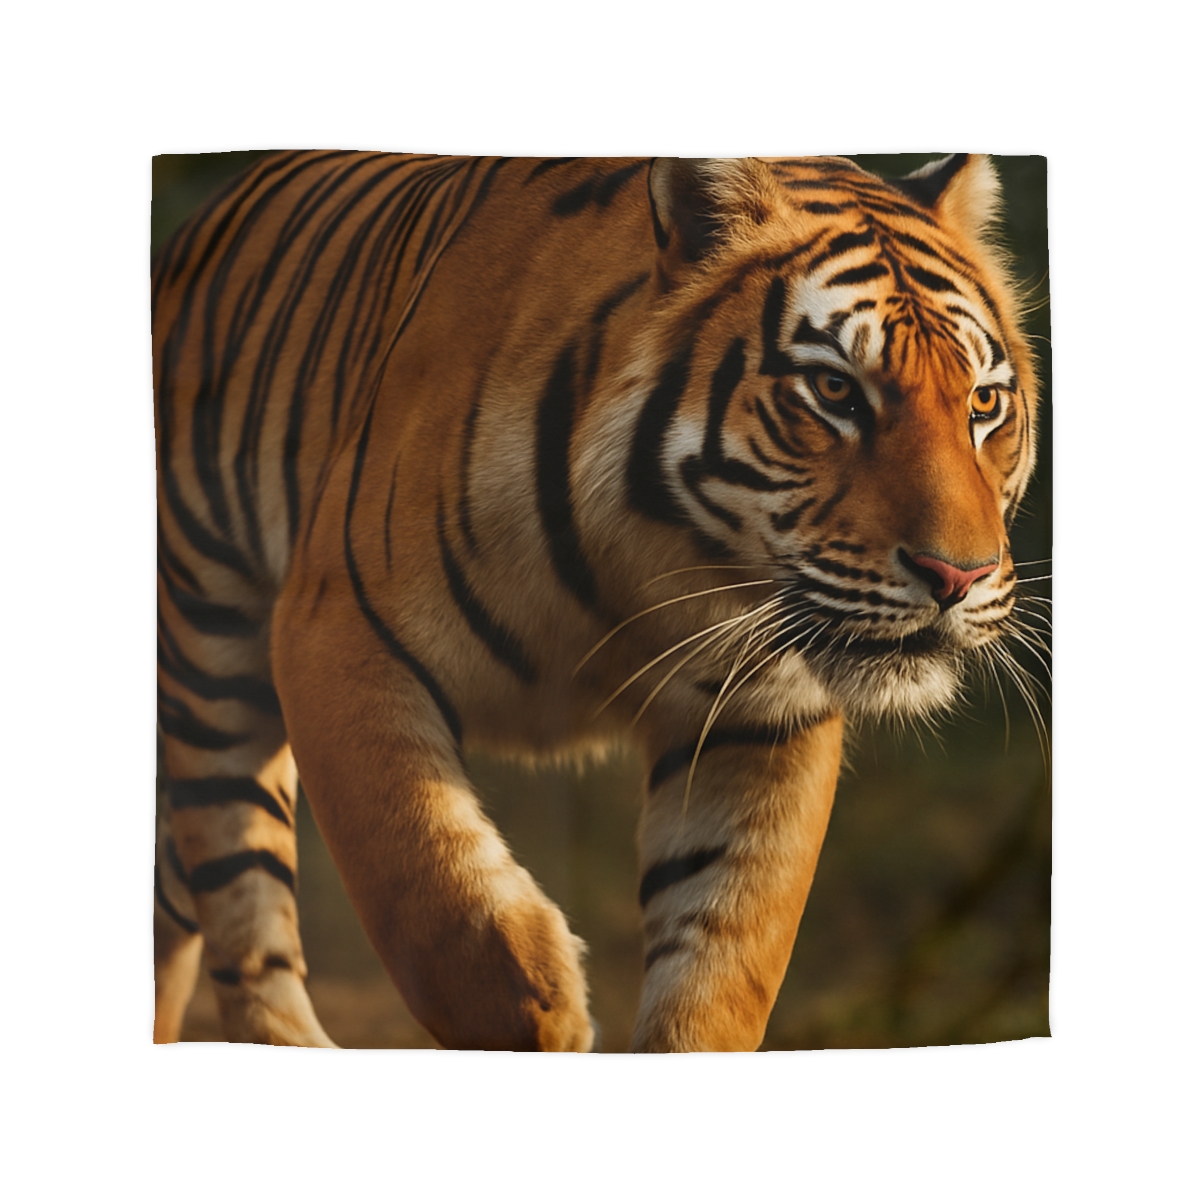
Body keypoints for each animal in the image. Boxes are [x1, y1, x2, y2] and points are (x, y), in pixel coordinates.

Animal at [152, 153, 1039, 1052]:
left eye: (983, 403)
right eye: (833, 390)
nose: (957, 576)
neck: (658, 563)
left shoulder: (764, 718)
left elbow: (724, 959)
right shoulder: (338, 629)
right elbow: (432, 886)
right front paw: (552, 1015)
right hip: (212, 663)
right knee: (242, 906)